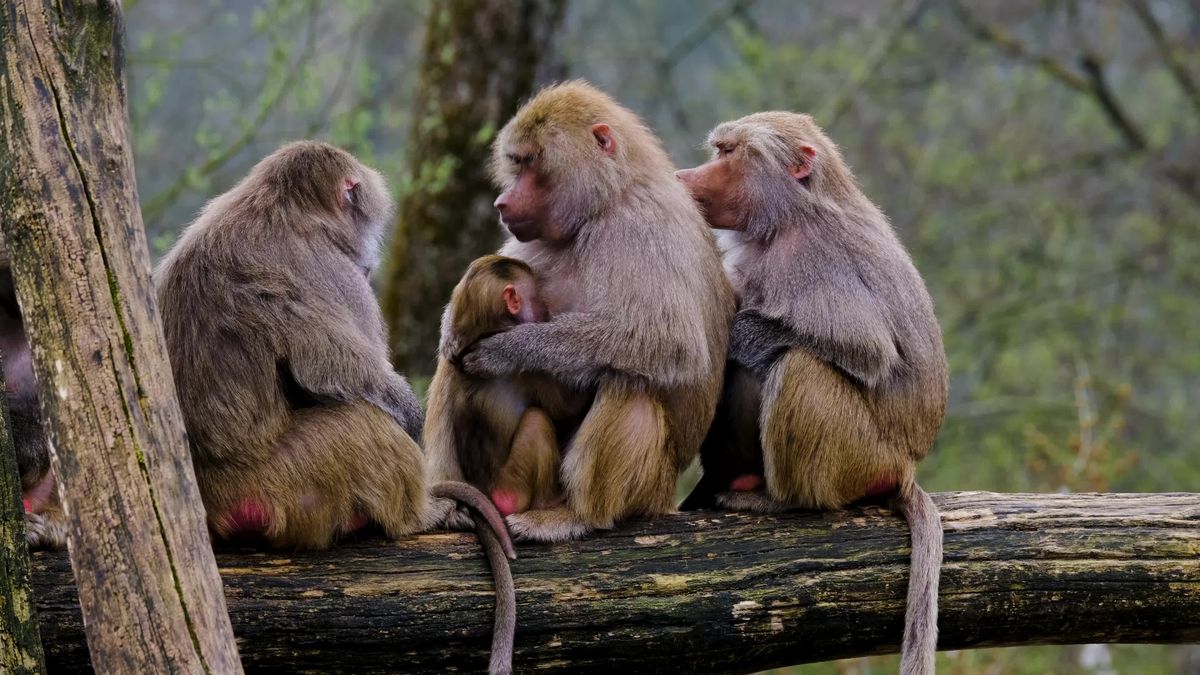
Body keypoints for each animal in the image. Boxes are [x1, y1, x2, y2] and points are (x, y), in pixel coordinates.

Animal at [155, 141, 517, 675]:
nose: (370, 257)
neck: (279, 206)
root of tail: (211, 500)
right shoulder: (336, 272)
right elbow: (340, 369)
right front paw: (408, 417)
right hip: (288, 478)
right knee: (362, 424)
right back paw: (419, 516)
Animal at [425, 254, 581, 524]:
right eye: (538, 300)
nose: (547, 312)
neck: (483, 331)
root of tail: (488, 494)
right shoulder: (530, 371)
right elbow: (569, 408)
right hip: (513, 488)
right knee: (536, 420)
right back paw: (550, 501)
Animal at [455, 81, 736, 542]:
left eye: (531, 162)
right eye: (517, 163)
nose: (502, 203)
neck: (606, 201)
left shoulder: (640, 224)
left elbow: (668, 340)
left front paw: (507, 350)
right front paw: (451, 327)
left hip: (649, 486)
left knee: (631, 380)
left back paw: (577, 515)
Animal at [676, 112, 948, 675]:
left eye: (729, 153)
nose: (685, 178)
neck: (789, 216)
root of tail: (905, 466)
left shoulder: (816, 256)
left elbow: (864, 349)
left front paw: (740, 330)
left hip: (860, 456)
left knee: (799, 366)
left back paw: (782, 502)